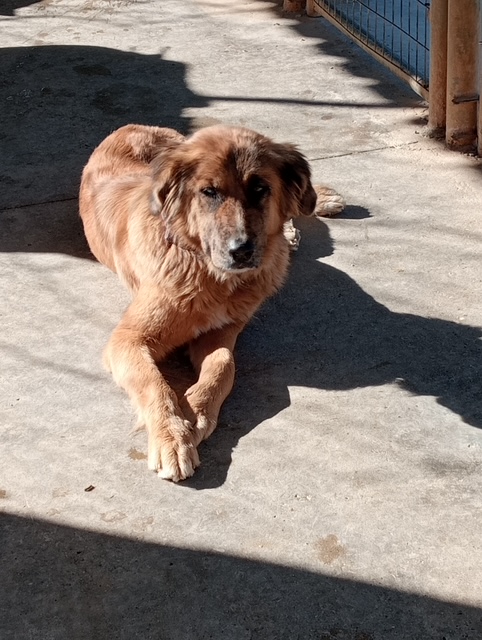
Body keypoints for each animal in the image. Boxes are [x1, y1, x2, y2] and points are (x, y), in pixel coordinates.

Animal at [79, 124, 345, 481]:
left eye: (260, 188)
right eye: (209, 192)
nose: (242, 251)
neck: (207, 271)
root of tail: (131, 126)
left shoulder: (221, 333)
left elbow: (223, 366)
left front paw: (195, 411)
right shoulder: (128, 340)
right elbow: (154, 383)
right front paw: (172, 436)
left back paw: (310, 212)